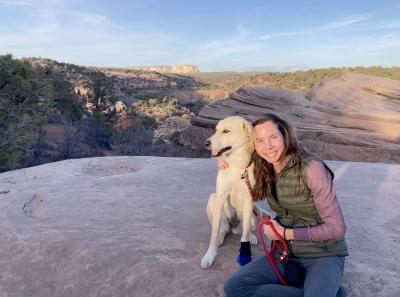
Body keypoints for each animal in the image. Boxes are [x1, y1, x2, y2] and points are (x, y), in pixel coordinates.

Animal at [202, 115, 258, 268]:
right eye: (216, 130)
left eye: (226, 131)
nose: (206, 143)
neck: (237, 165)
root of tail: (232, 226)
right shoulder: (220, 196)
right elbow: (214, 232)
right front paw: (210, 255)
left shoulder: (249, 199)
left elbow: (245, 234)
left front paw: (245, 254)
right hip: (212, 200)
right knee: (222, 229)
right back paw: (221, 238)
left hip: (255, 209)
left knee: (244, 229)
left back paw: (251, 237)